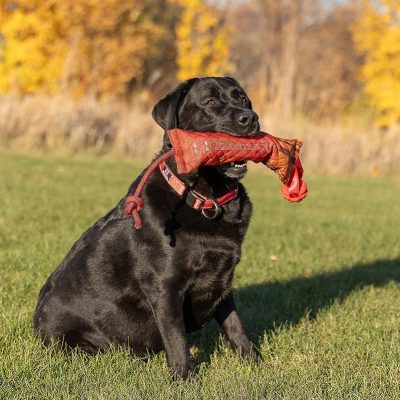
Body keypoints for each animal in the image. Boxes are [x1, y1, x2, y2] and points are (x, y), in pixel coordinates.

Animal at [34, 76, 260, 380]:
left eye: (243, 99)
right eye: (211, 102)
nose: (249, 118)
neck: (205, 198)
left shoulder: (222, 281)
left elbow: (236, 326)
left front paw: (255, 364)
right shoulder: (165, 288)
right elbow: (177, 340)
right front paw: (185, 379)